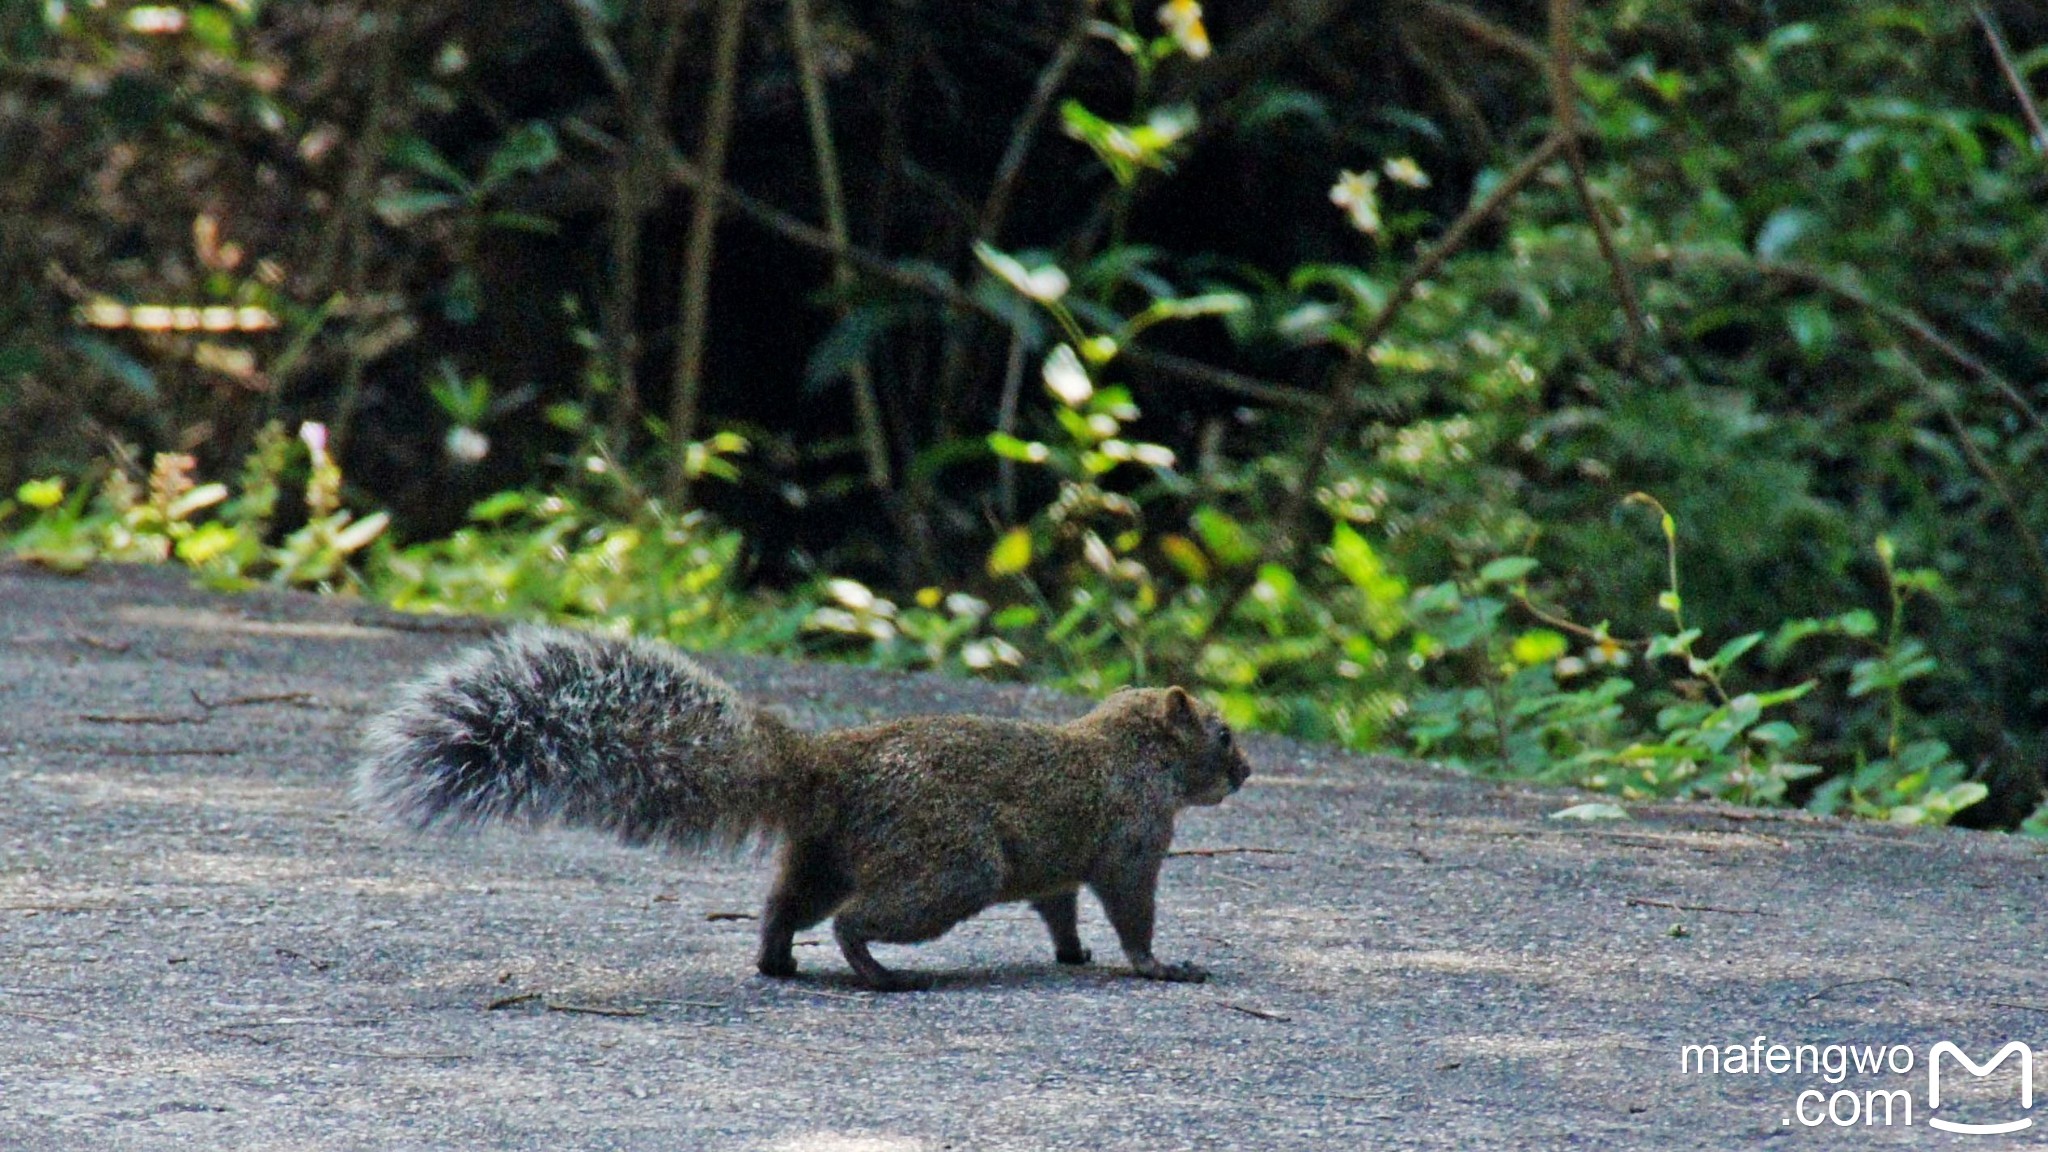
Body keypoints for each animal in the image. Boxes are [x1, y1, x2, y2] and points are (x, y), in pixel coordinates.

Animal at [352, 623, 1245, 992]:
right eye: (1224, 732)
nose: (1244, 771)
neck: (1129, 750)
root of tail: (829, 768)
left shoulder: (1059, 868)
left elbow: (1059, 908)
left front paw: (1073, 953)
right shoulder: (1133, 839)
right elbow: (1130, 910)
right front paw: (1157, 966)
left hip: (828, 854)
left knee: (786, 905)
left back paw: (778, 961)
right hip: (950, 866)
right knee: (854, 918)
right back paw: (880, 975)